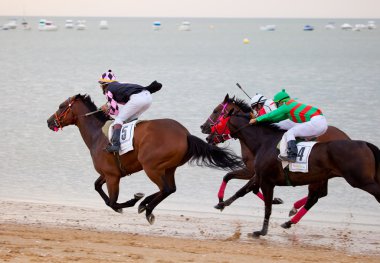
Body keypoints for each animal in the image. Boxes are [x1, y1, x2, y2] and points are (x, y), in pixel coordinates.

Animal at [46, 95, 243, 225]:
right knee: (170, 189)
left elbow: (112, 202)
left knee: (165, 188)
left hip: (151, 166)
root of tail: (185, 134)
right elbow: (98, 188)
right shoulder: (109, 173)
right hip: (168, 168)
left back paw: (146, 208)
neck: (97, 135)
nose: (49, 121)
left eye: (61, 106)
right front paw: (134, 201)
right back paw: (145, 204)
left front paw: (130, 202)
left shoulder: (112, 176)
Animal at [203, 94, 378, 237]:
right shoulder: (258, 175)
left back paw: (292, 214)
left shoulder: (260, 176)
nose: (205, 132)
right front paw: (222, 203)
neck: (263, 141)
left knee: (316, 196)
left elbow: (261, 200)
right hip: (325, 177)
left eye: (216, 112)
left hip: (356, 180)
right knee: (317, 196)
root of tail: (355, 140)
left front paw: (262, 229)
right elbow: (241, 188)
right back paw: (291, 217)